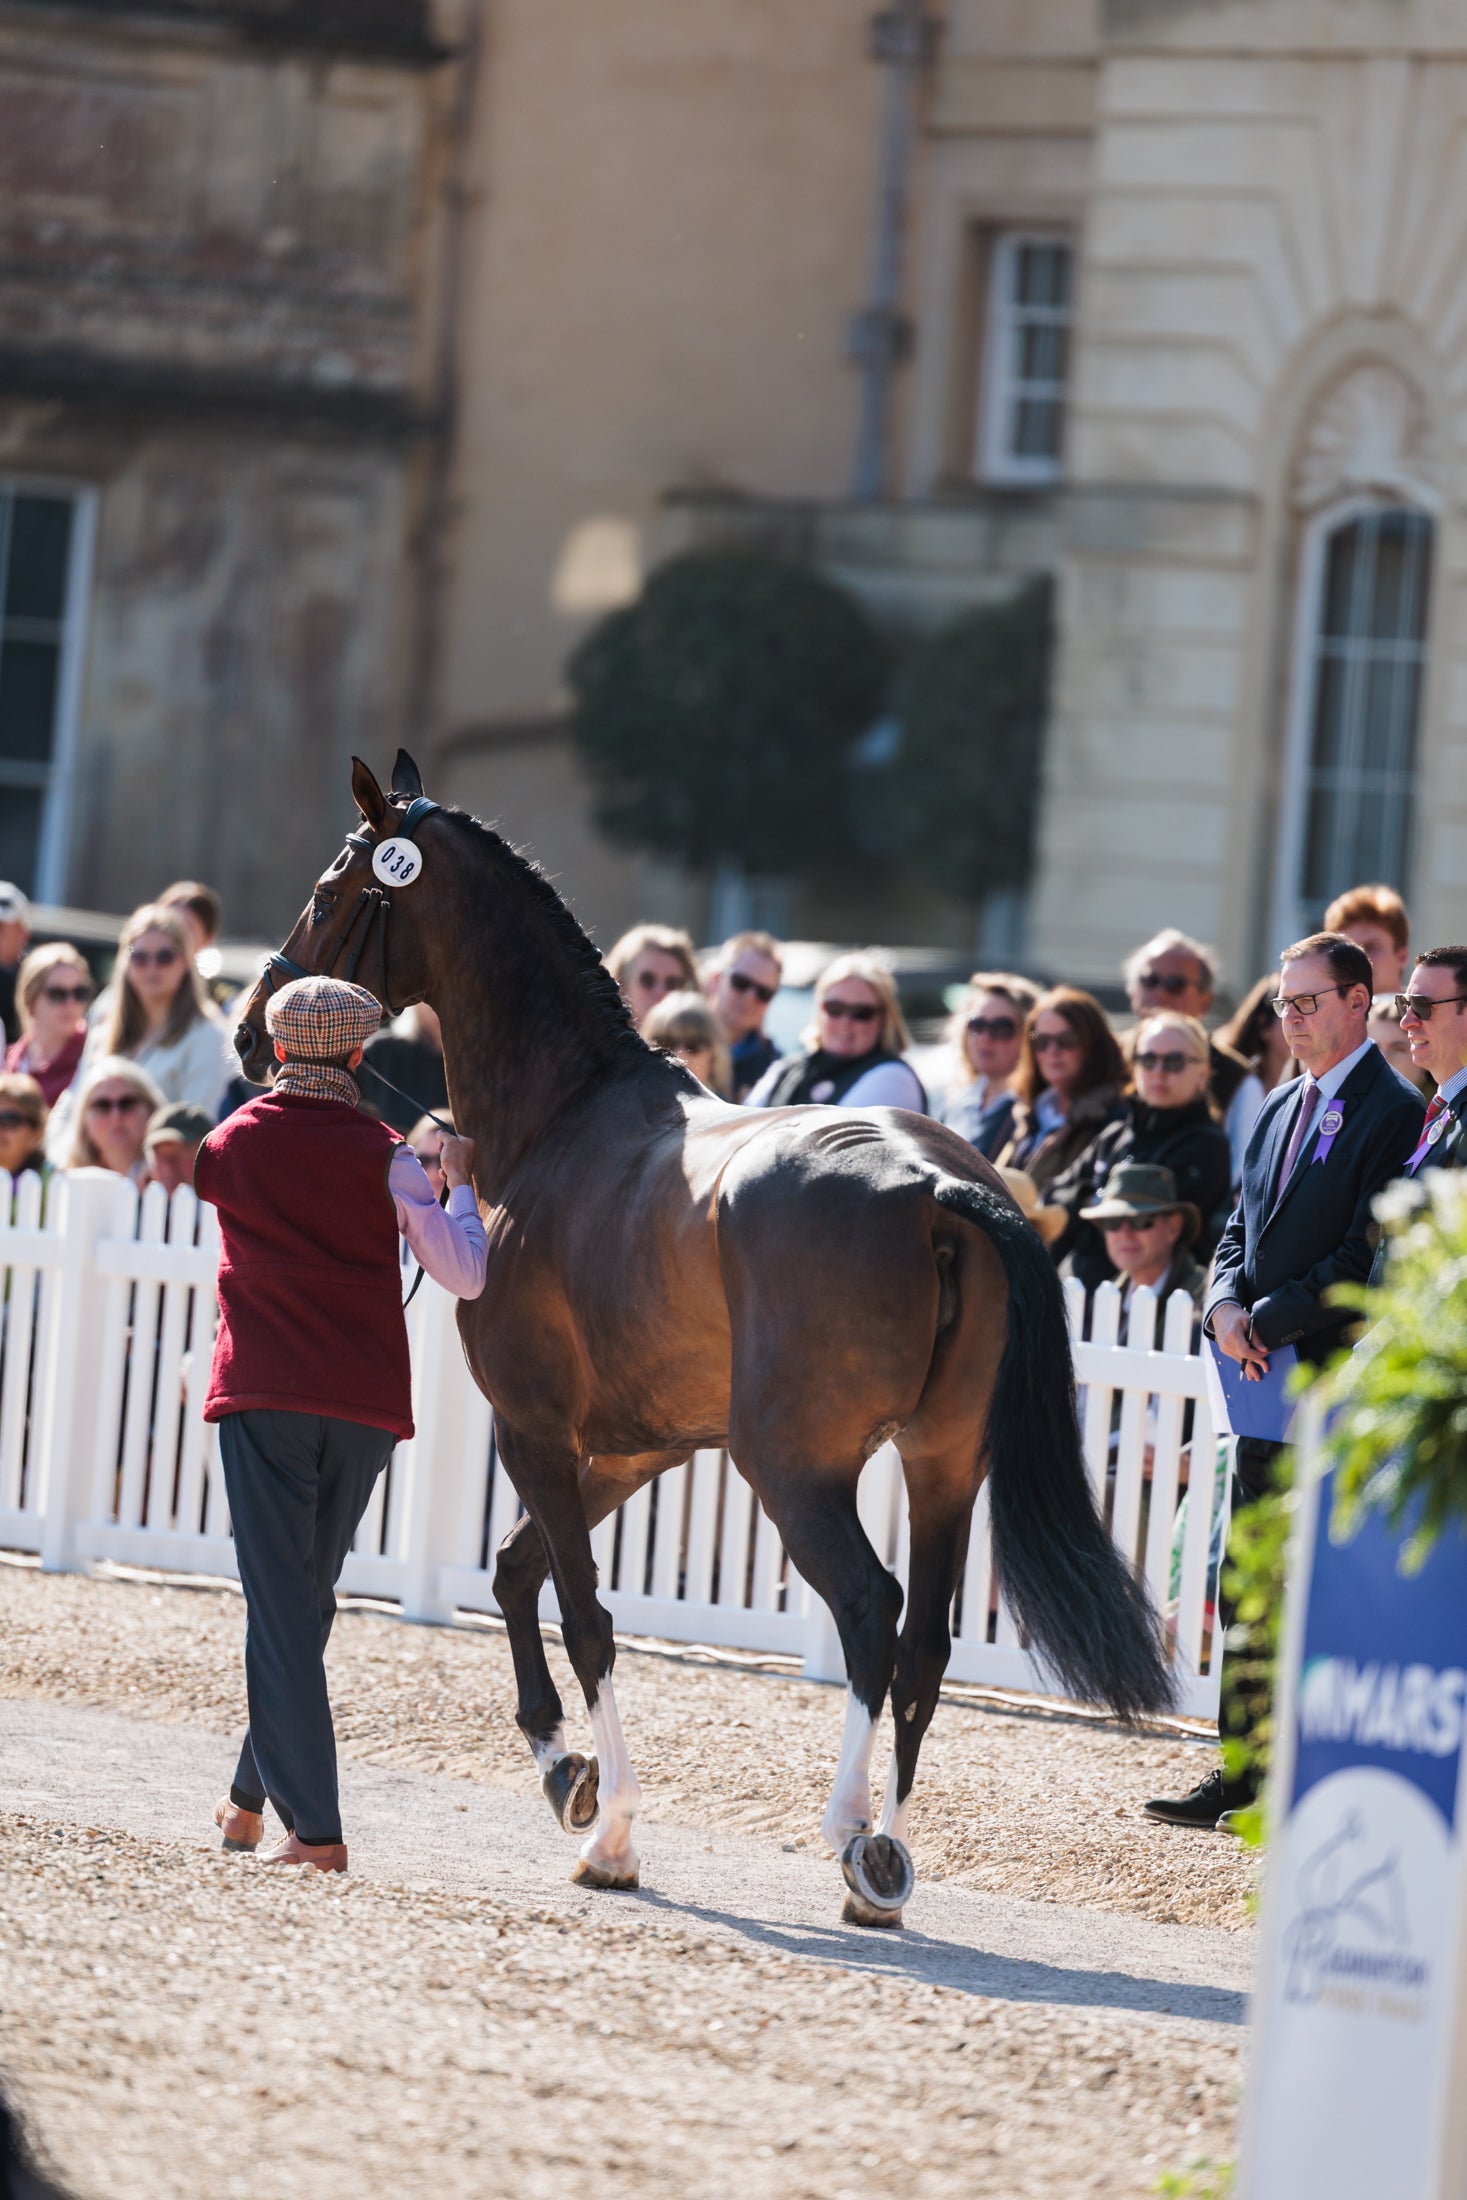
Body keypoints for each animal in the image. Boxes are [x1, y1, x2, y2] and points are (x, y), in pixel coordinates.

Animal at [232, 751, 1173, 1927]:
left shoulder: (534, 1430)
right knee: (924, 1641)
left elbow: (583, 1610)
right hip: (943, 1461)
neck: (566, 1116)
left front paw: (613, 1831)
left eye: (330, 893)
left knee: (869, 1609)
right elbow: (515, 1569)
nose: (249, 1027)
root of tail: (938, 1184)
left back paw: (851, 1839)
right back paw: (888, 1861)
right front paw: (564, 1770)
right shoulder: (639, 1447)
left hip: (796, 1468)